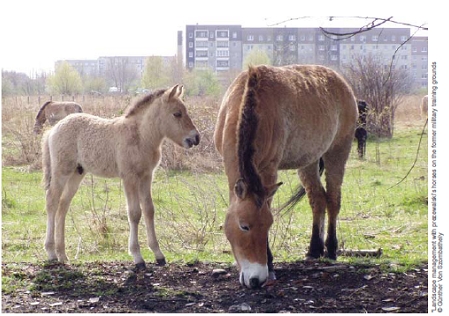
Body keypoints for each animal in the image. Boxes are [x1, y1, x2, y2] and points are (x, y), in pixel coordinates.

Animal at [43, 85, 200, 268]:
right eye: (177, 113)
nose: (196, 137)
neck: (141, 136)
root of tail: (53, 129)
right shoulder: (129, 177)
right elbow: (134, 213)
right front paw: (137, 257)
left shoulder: (146, 176)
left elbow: (149, 210)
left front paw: (158, 255)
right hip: (61, 171)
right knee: (52, 201)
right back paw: (51, 252)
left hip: (77, 174)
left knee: (63, 205)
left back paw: (62, 254)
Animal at [214, 64, 356, 288]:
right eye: (244, 226)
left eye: (268, 225)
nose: (256, 279)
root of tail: (342, 82)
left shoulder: (269, 170)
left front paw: (271, 266)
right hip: (309, 162)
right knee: (318, 199)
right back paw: (314, 250)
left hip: (338, 152)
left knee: (333, 199)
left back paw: (331, 249)